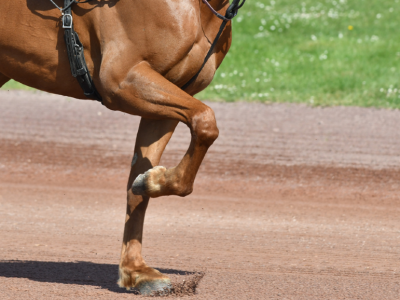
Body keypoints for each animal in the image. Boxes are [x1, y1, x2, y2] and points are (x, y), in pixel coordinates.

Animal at [1, 0, 239, 296]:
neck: (196, 9)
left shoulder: (167, 99)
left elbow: (138, 188)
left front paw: (136, 271)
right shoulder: (123, 80)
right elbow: (206, 121)